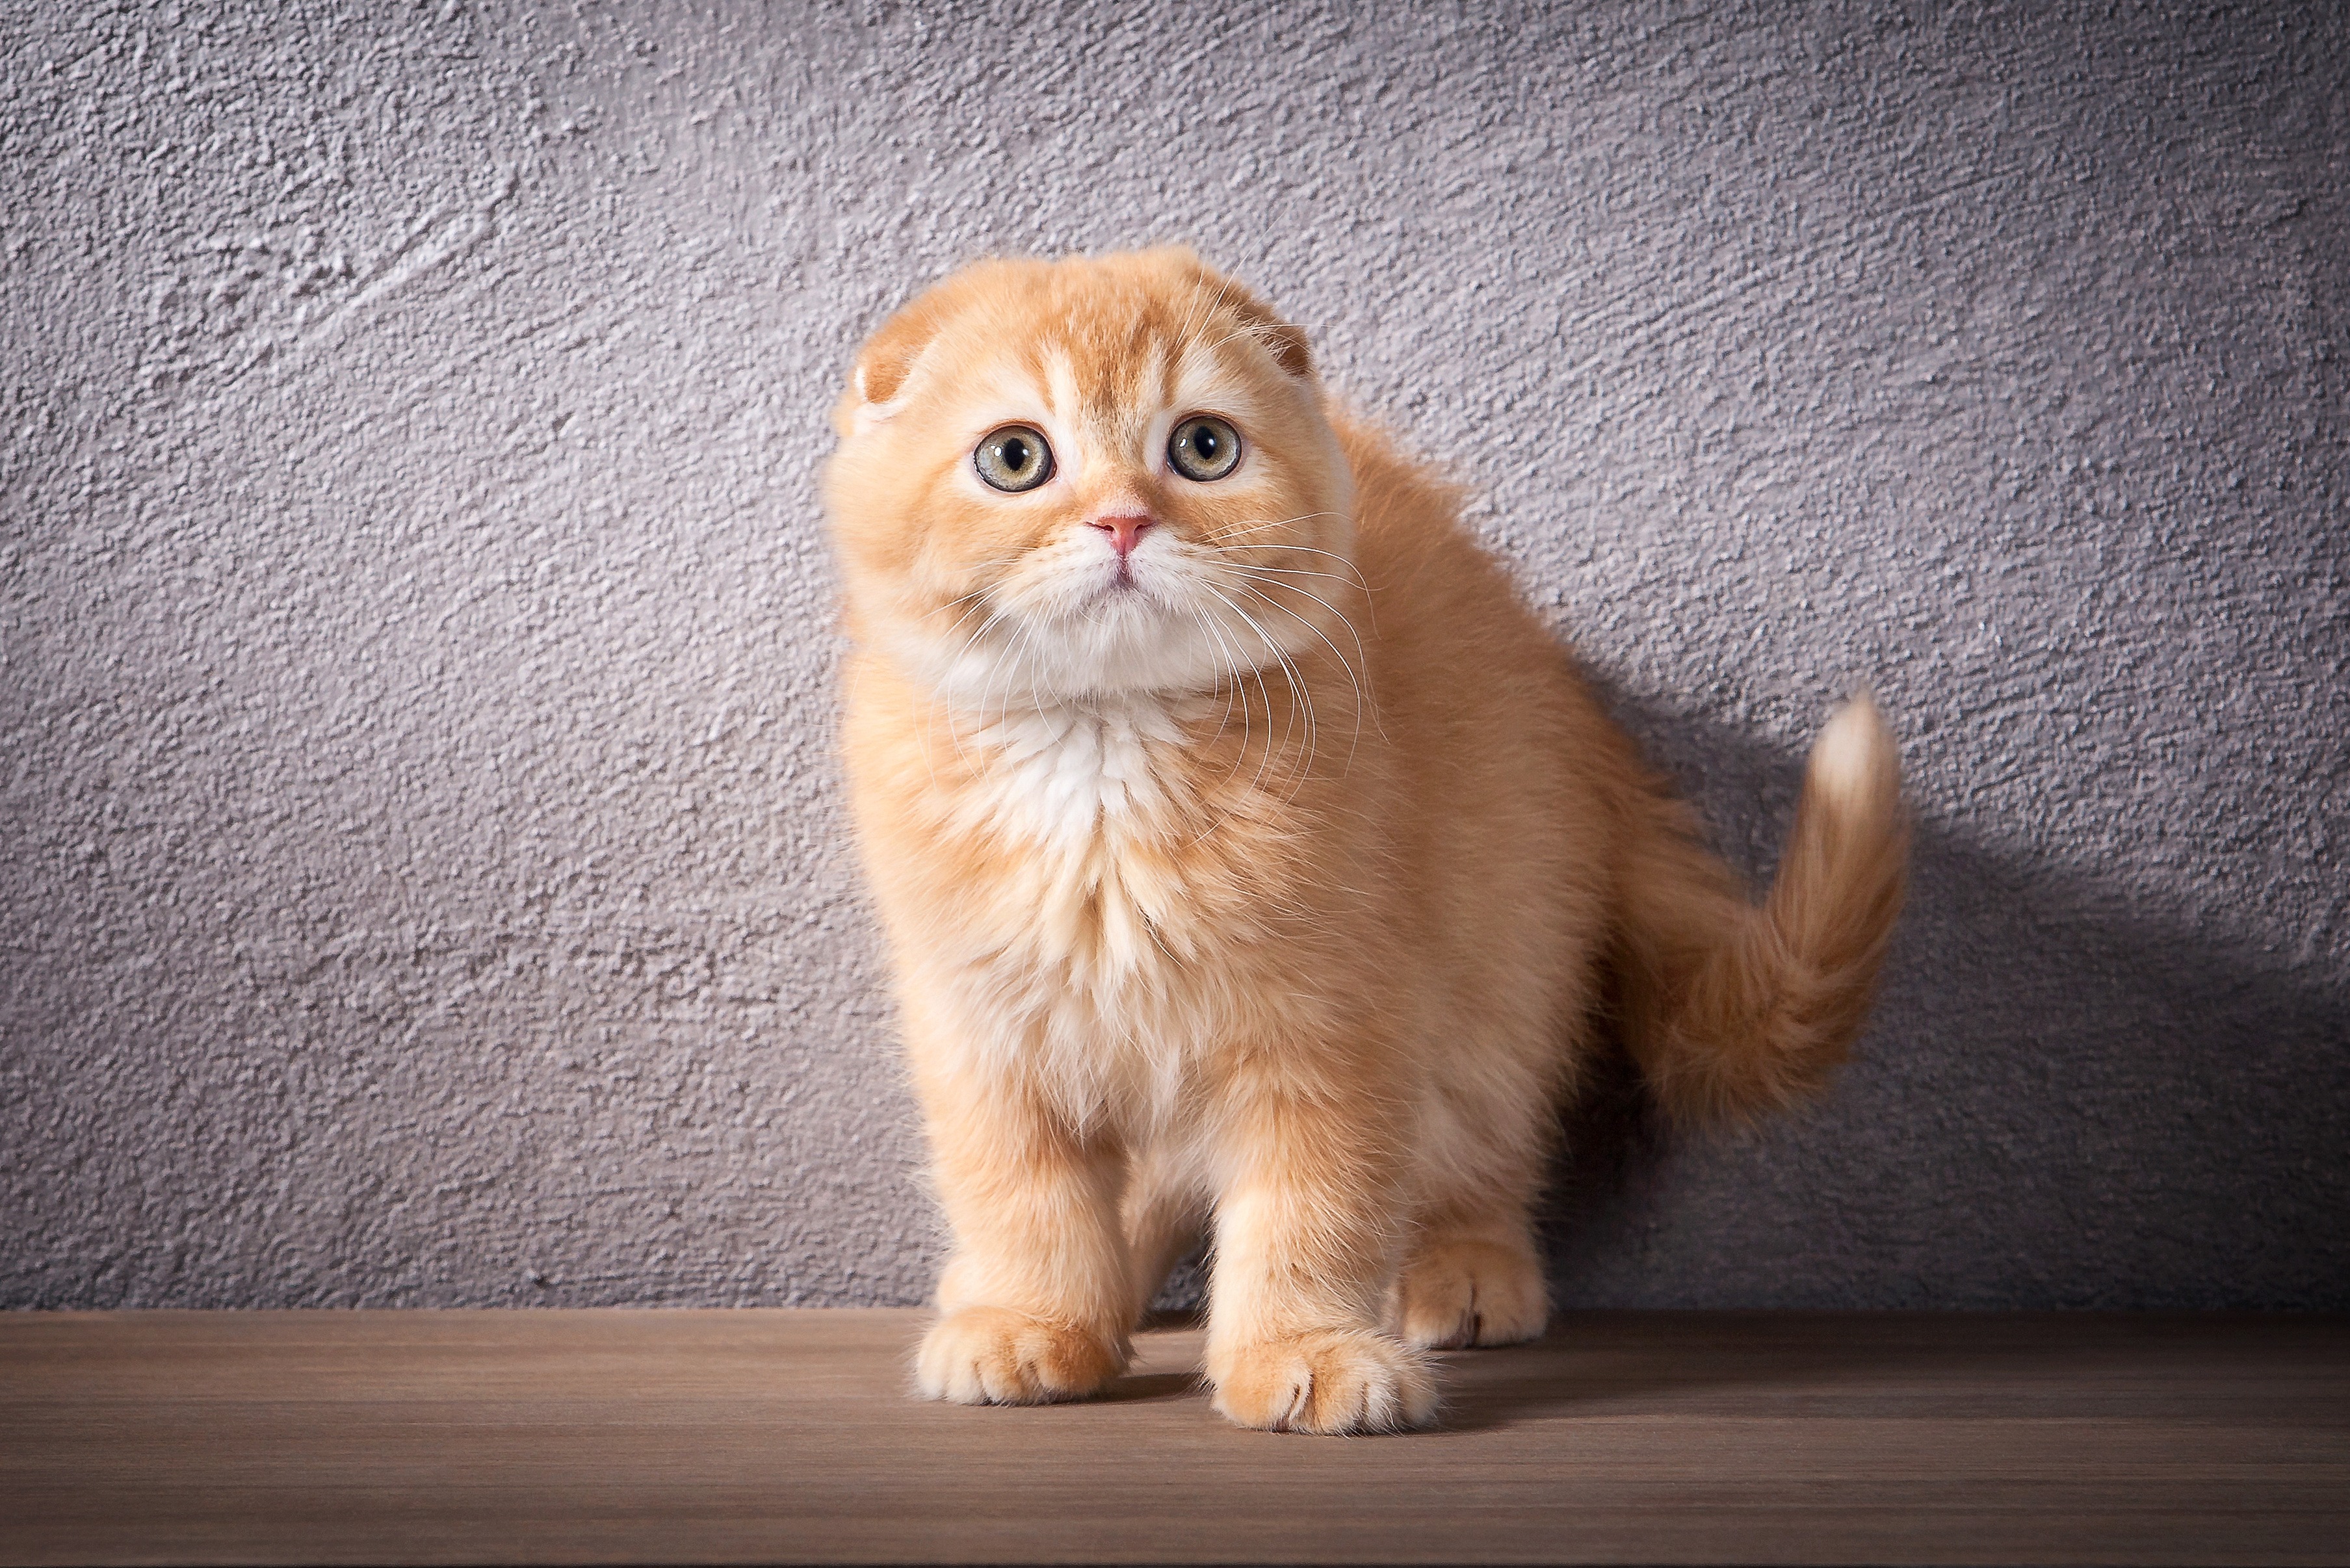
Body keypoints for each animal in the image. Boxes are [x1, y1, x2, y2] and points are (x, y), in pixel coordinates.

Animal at [818, 245, 1898, 1439]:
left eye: (1202, 447)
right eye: (1015, 458)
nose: (1122, 522)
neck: (1104, 757)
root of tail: (1569, 711)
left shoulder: (1340, 1017)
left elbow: (1313, 1200)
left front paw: (1301, 1349)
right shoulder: (978, 1026)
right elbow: (1018, 1190)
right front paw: (1032, 1319)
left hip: (1505, 948)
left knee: (1490, 1131)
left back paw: (1466, 1266)